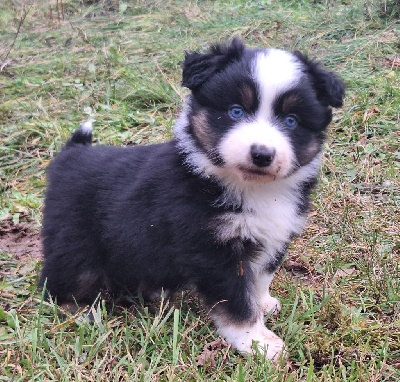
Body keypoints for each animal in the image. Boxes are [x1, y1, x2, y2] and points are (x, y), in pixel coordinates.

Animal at [39, 40, 344, 360]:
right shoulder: (212, 249)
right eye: (236, 111)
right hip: (74, 242)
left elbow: (261, 277)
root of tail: (73, 155)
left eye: (291, 121)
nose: (262, 154)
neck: (249, 188)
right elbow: (236, 301)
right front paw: (258, 343)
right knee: (56, 281)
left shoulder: (275, 233)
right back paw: (79, 311)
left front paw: (263, 304)